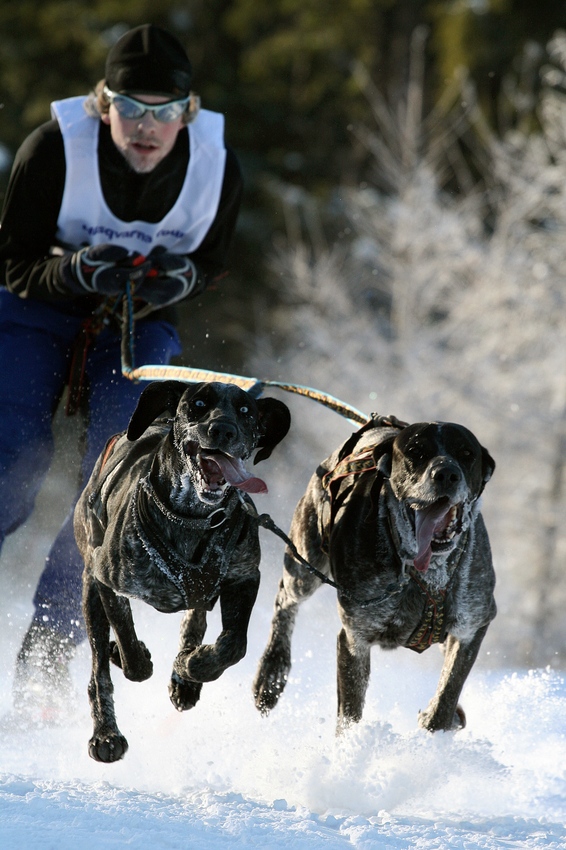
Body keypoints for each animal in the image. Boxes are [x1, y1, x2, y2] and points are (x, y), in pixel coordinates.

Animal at [76, 380, 292, 760]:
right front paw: (137, 657)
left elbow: (233, 644)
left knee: (196, 621)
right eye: (199, 403)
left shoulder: (244, 577)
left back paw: (185, 677)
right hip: (91, 588)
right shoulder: (108, 583)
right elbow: (131, 655)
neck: (191, 518)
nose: (223, 429)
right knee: (99, 668)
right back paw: (106, 734)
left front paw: (192, 667)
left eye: (246, 411)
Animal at [254, 414, 496, 732]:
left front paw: (437, 722)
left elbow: (449, 689)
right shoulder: (354, 639)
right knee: (285, 600)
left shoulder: (473, 624)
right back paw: (271, 672)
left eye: (466, 453)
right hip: (304, 563)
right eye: (416, 451)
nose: (446, 473)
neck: (426, 574)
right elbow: (349, 715)